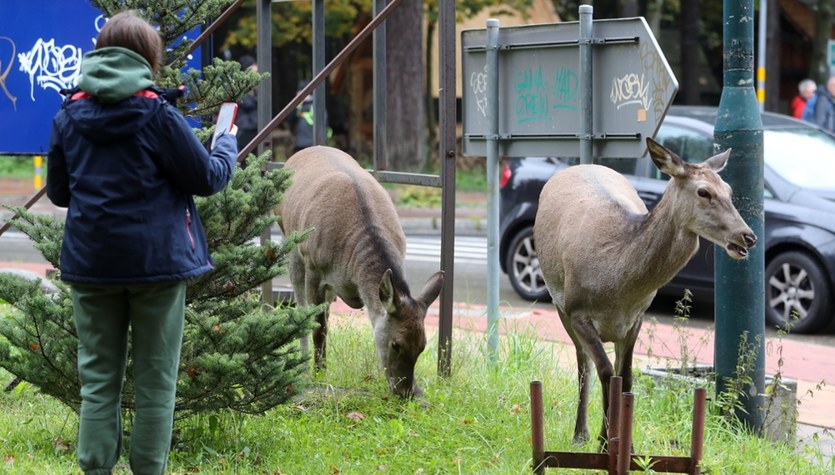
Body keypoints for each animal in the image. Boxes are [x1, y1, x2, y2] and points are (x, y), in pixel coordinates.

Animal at [278, 145, 444, 398]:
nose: (406, 392)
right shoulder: (314, 266)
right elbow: (318, 327)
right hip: (290, 240)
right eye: (396, 344)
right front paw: (318, 374)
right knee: (300, 306)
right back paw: (303, 363)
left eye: (423, 346)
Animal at [536, 137, 756, 446]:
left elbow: (626, 376)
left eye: (730, 190)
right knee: (583, 364)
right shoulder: (577, 310)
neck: (616, 284)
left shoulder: (636, 316)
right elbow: (604, 370)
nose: (748, 236)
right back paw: (580, 434)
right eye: (704, 191)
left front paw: (623, 442)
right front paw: (604, 441)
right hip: (559, 303)